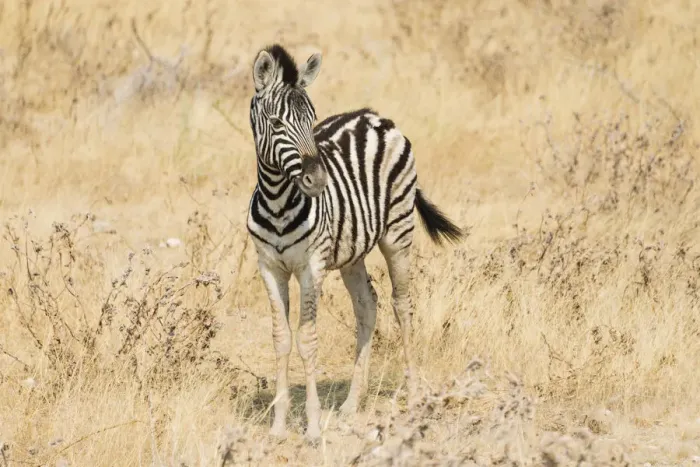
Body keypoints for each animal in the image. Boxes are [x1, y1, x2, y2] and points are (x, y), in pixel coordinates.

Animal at [246, 44, 464, 441]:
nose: (317, 180)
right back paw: (351, 402)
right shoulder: (268, 266)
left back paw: (413, 397)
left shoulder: (311, 267)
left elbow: (307, 340)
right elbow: (281, 338)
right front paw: (279, 426)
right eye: (276, 124)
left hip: (398, 232)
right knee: (367, 305)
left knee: (402, 304)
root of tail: (374, 117)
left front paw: (313, 427)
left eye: (312, 120)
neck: (278, 201)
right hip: (351, 252)